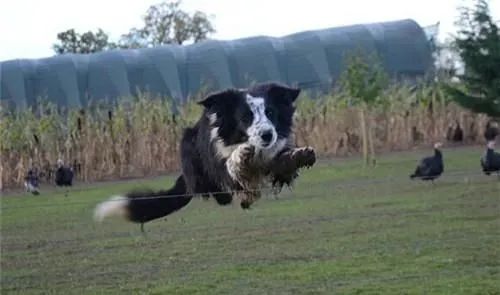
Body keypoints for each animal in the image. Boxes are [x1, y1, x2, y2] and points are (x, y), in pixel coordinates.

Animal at [94, 82, 316, 232]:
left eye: (270, 112)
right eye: (246, 117)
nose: (267, 135)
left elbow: (282, 162)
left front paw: (300, 155)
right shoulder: (222, 162)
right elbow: (232, 166)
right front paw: (240, 157)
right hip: (187, 145)